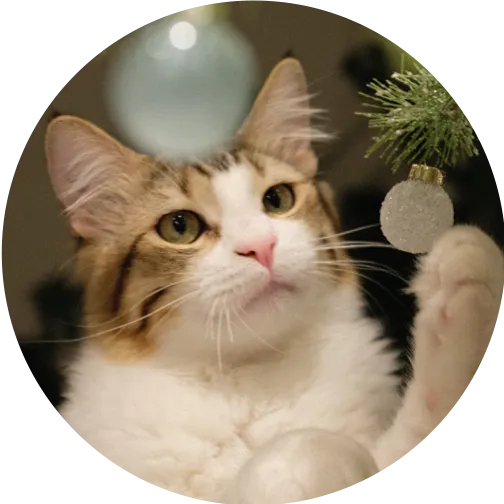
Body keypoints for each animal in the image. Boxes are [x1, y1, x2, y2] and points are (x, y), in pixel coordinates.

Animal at [44, 58, 504, 500]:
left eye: (277, 200)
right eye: (179, 227)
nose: (260, 247)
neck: (252, 382)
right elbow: (302, 453)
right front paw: (299, 464)